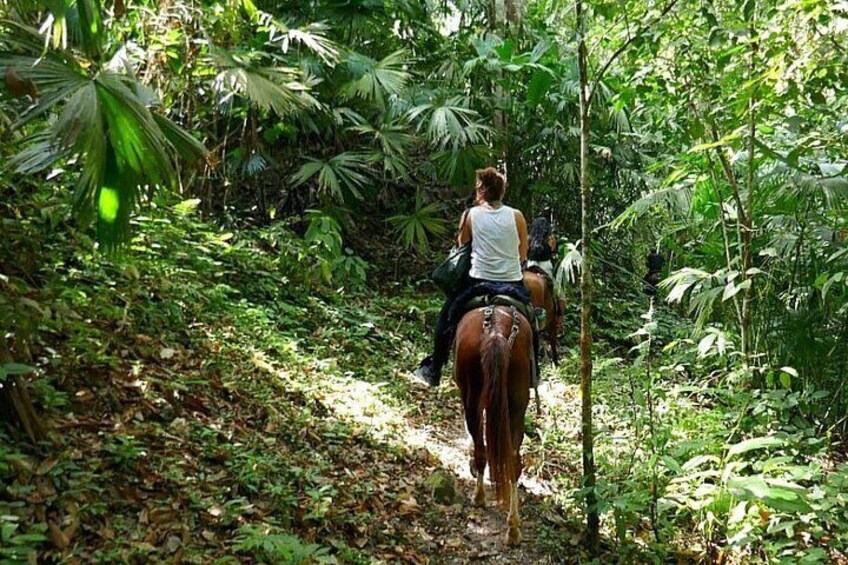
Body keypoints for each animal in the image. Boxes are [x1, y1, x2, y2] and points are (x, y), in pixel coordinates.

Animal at [458, 304, 528, 548]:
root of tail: (495, 331)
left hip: (472, 394)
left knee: (481, 447)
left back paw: (479, 497)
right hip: (516, 402)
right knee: (514, 462)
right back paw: (513, 528)